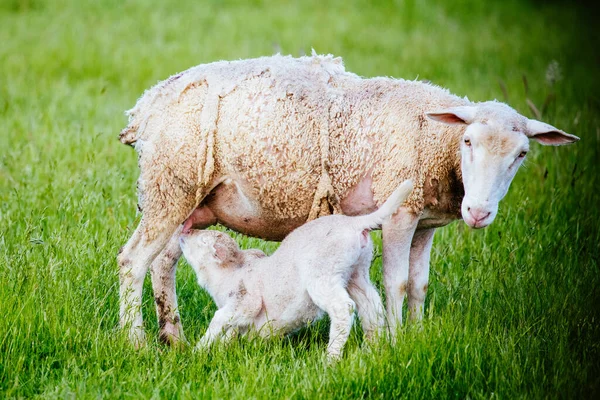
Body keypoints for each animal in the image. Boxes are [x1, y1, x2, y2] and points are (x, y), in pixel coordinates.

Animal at [178, 180, 412, 358]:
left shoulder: (245, 301)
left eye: (203, 241)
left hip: (323, 272)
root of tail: (353, 224)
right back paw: (374, 348)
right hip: (356, 271)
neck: (229, 273)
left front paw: (197, 351)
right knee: (373, 306)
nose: (184, 231)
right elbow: (230, 331)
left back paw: (331, 358)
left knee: (343, 308)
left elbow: (220, 318)